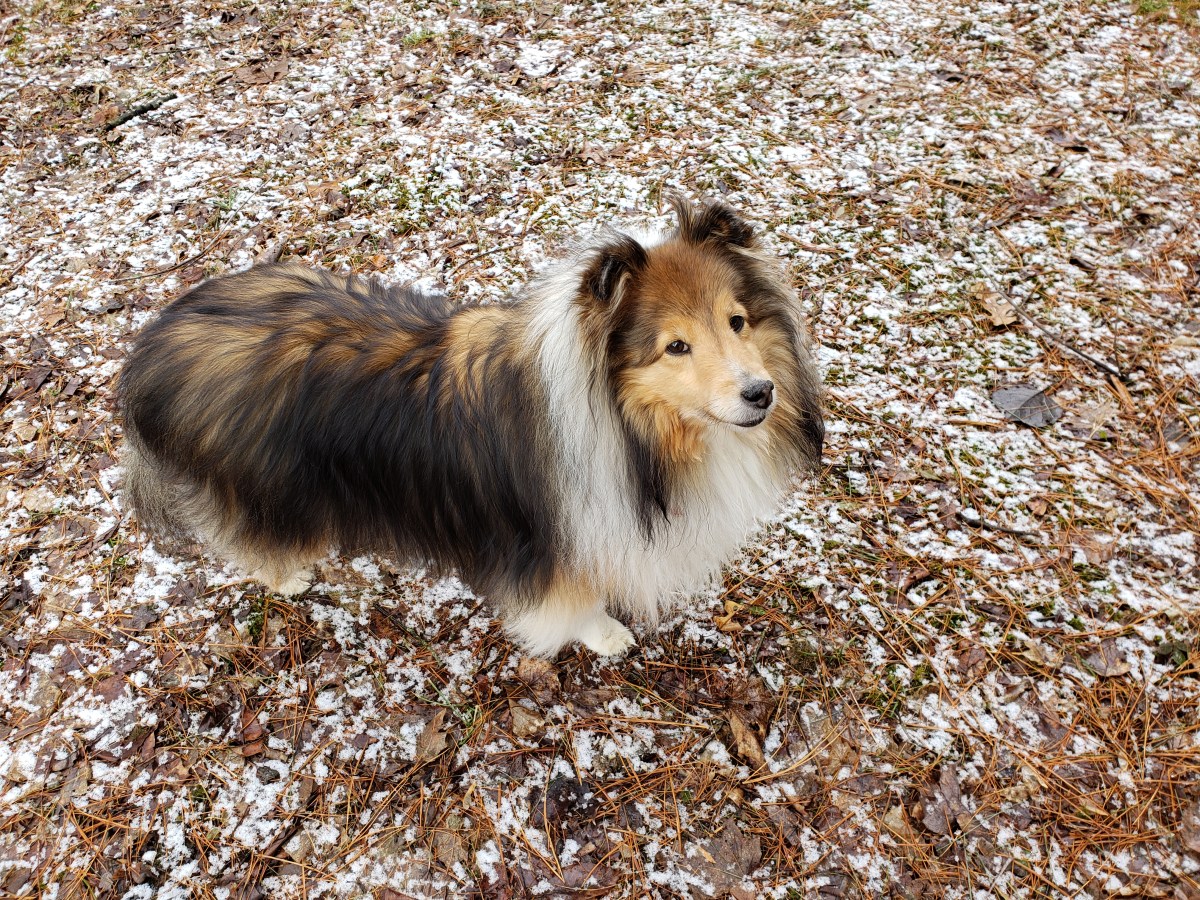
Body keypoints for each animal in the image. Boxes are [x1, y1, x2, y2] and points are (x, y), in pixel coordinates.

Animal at [118, 197, 824, 657]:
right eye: (675, 347)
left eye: (736, 321)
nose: (761, 394)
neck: (630, 427)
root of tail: (154, 341)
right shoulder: (554, 547)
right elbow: (578, 602)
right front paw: (606, 636)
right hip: (262, 486)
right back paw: (287, 574)